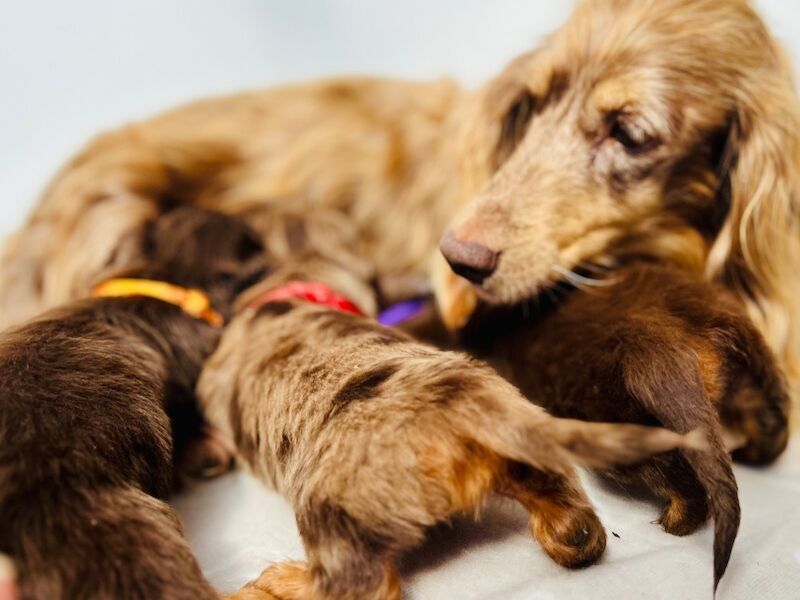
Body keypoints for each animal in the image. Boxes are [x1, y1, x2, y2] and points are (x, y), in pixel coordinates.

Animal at [197, 254, 704, 600]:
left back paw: (268, 584)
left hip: (329, 513)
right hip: (534, 461)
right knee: (578, 530)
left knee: (364, 586)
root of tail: (468, 404)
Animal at [466, 262, 792, 592]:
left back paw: (673, 522)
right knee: (772, 429)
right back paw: (748, 453)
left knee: (685, 483)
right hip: (754, 376)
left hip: (622, 433)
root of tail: (662, 335)